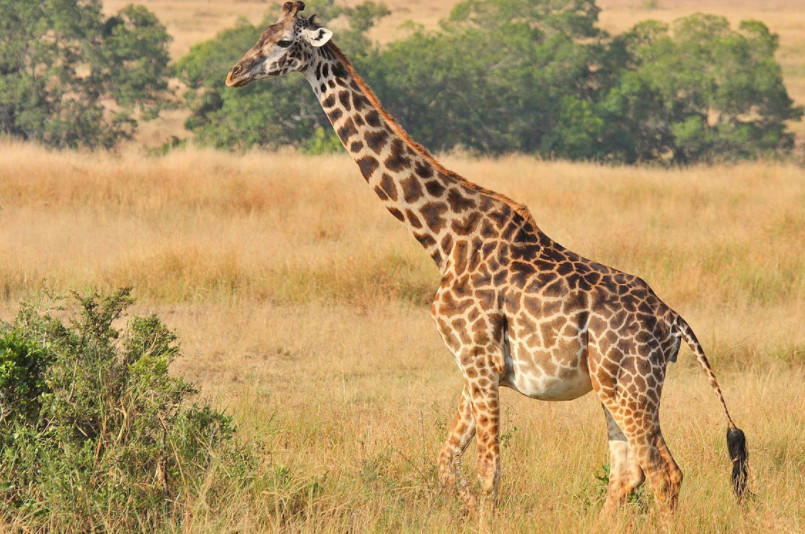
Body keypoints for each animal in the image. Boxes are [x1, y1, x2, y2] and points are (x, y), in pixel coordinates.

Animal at [225, 3, 748, 532]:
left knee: (664, 473)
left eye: (284, 42)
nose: (234, 73)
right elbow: (447, 463)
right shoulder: (472, 365)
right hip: (614, 385)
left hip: (631, 384)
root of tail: (672, 321)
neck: (443, 238)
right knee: (628, 473)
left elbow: (488, 472)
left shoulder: (479, 360)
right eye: (262, 32)